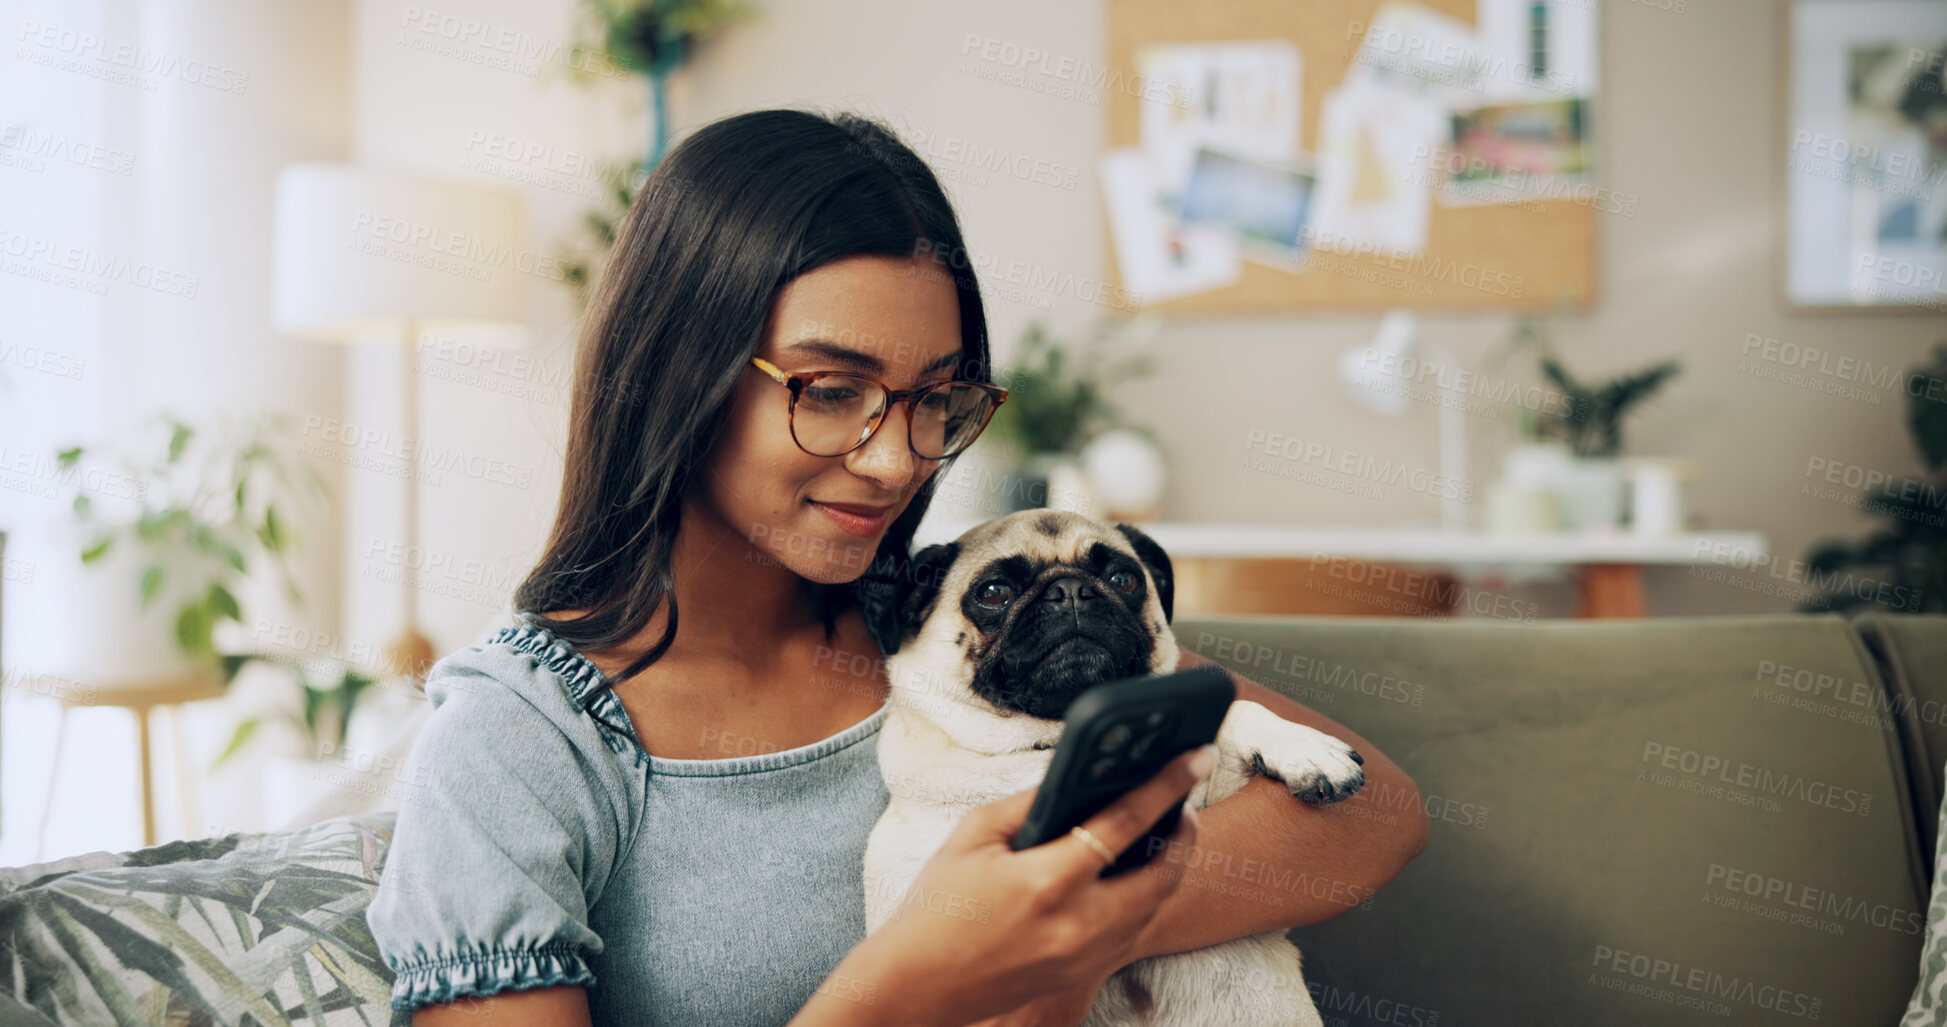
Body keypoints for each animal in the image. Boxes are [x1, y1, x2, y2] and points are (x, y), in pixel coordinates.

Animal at [868, 506, 1370, 1027]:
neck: (1054, 740)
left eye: (1124, 579)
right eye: (993, 593)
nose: (1069, 590)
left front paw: (1303, 747)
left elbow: (1239, 710)